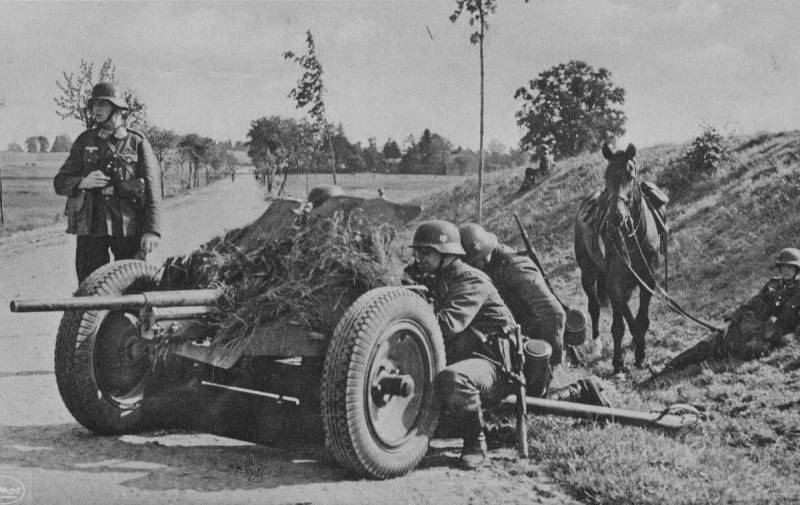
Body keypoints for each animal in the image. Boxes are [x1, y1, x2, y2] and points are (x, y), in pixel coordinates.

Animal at [576, 142, 664, 374]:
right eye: (606, 175)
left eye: (630, 175)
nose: (616, 217)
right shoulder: (614, 280)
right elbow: (617, 326)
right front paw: (617, 363)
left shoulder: (647, 280)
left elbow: (642, 319)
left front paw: (640, 355)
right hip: (588, 273)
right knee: (595, 306)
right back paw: (597, 345)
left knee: (624, 308)